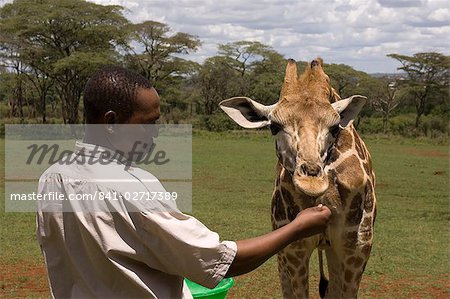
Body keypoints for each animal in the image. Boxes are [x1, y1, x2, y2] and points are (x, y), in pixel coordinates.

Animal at [219, 57, 376, 298]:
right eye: (274, 127)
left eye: (334, 128)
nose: (311, 181)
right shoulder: (294, 247)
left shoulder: (357, 247)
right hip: (282, 247)